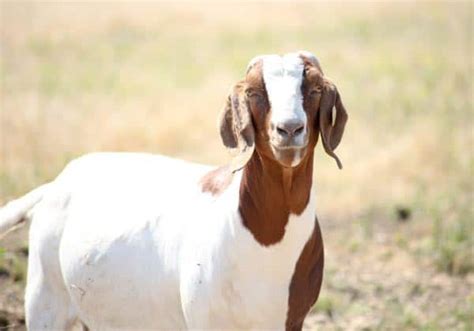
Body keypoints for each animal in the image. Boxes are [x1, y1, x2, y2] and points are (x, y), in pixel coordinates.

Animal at [0, 50, 348, 330]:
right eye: (254, 92)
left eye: (315, 89)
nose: (289, 130)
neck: (266, 241)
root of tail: (58, 183)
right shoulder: (205, 319)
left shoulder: (290, 319)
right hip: (45, 296)